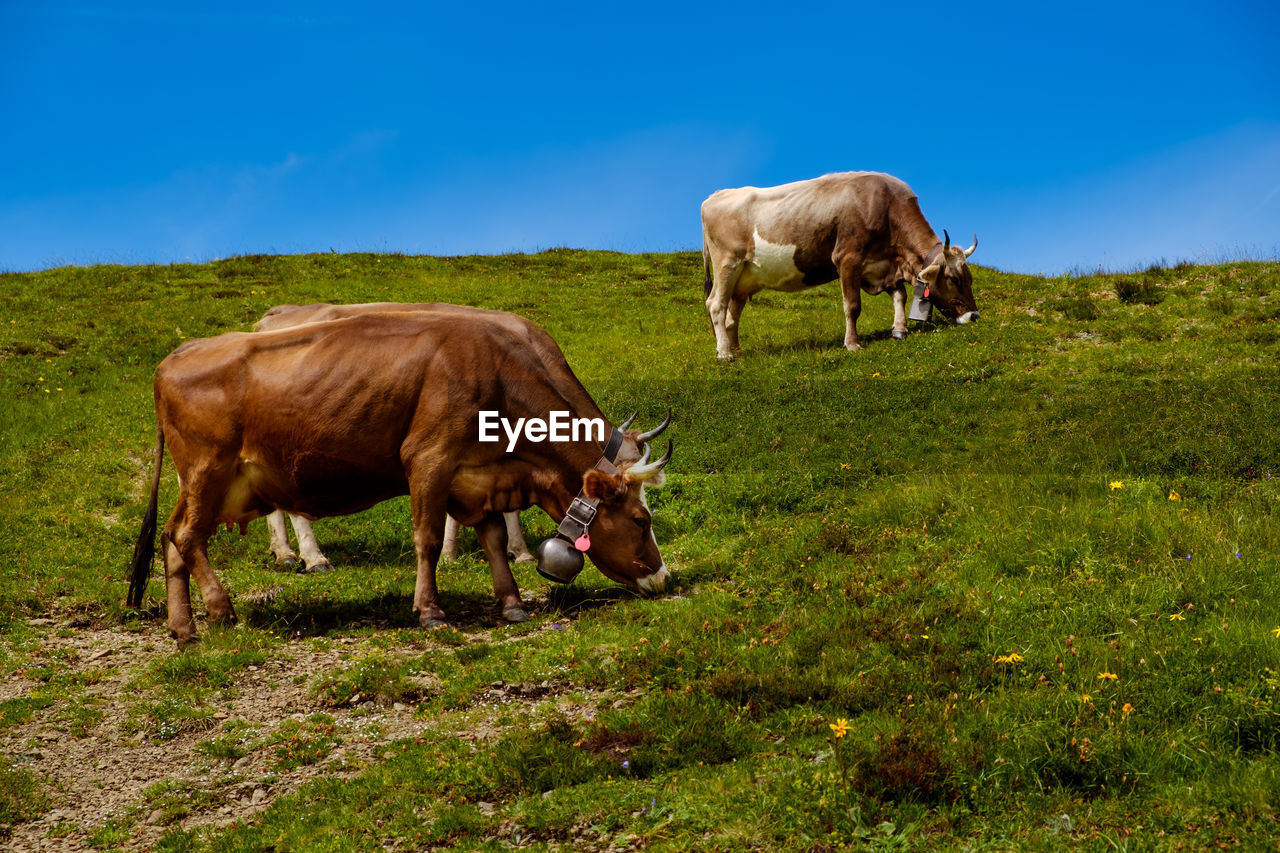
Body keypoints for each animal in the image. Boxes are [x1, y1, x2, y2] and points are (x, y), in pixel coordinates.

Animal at [701, 169, 977, 358]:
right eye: (952, 279)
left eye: (970, 279)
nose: (974, 316)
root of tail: (714, 196)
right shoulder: (847, 259)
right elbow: (852, 306)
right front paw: (852, 343)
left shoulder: (883, 267)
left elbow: (899, 295)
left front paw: (900, 329)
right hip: (727, 263)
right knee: (716, 305)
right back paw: (724, 354)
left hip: (743, 279)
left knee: (732, 315)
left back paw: (735, 350)